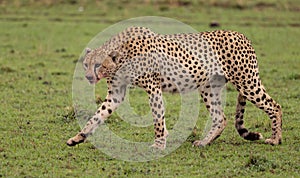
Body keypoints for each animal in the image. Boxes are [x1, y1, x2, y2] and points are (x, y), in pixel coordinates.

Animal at [67, 26, 282, 149]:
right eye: (85, 64)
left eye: (98, 65)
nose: (88, 76)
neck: (121, 56)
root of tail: (241, 34)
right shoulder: (116, 94)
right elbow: (98, 115)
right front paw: (78, 137)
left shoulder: (153, 87)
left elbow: (157, 117)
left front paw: (159, 143)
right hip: (209, 88)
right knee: (220, 118)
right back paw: (204, 142)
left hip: (247, 82)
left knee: (275, 106)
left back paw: (275, 139)